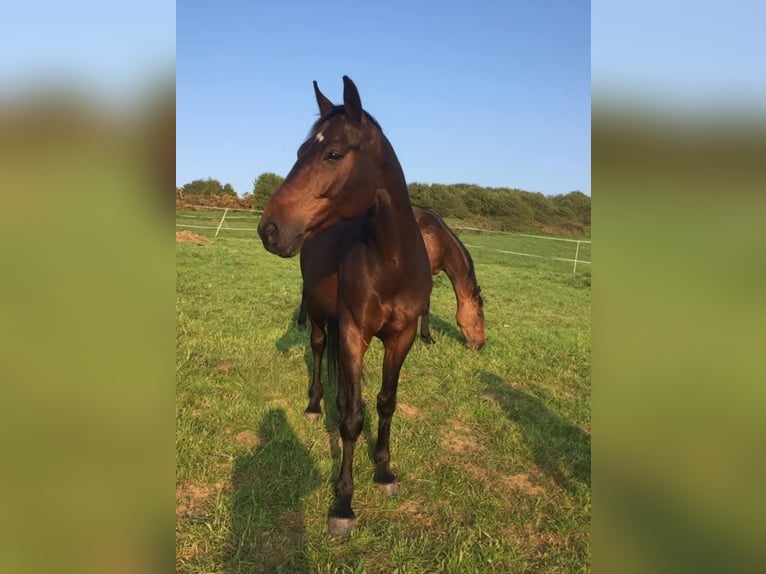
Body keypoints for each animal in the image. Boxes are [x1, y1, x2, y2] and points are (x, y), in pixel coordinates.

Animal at [258, 74, 436, 536]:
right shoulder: (355, 332)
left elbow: (385, 403)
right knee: (322, 350)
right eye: (300, 152)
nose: (269, 229)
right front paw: (343, 503)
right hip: (321, 317)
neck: (391, 261)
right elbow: (353, 418)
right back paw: (315, 405)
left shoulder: (401, 337)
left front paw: (385, 472)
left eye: (333, 153)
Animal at [298, 207, 486, 352]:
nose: (480, 344)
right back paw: (302, 323)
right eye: (479, 314)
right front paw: (427, 337)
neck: (435, 237)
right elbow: (425, 306)